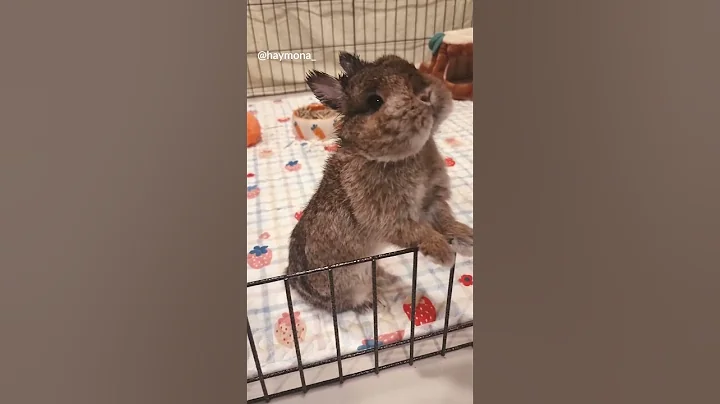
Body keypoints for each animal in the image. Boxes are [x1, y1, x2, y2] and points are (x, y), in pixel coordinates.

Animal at [286, 52, 474, 314]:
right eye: (374, 101)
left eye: (410, 66)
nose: (426, 94)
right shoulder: (390, 217)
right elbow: (418, 232)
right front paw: (444, 254)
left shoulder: (434, 200)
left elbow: (446, 220)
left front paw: (467, 238)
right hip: (350, 283)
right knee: (349, 303)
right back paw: (374, 300)